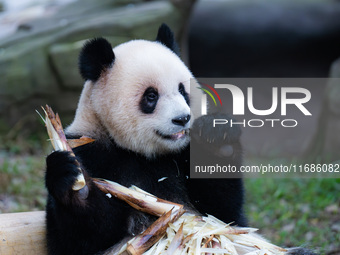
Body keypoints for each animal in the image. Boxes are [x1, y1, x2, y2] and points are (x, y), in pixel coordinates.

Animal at [43, 24, 314, 255]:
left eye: (183, 90)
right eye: (151, 96)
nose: (183, 119)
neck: (147, 154)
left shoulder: (185, 154)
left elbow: (225, 215)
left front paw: (218, 138)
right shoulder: (93, 150)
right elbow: (80, 238)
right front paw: (75, 184)